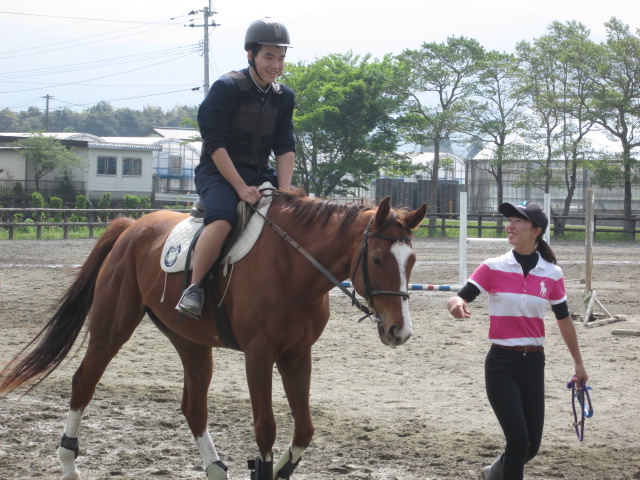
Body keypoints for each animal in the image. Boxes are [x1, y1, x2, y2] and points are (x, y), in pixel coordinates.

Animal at [0, 188, 427, 480]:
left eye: (411, 262)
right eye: (377, 259)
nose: (399, 331)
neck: (294, 267)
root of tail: (132, 227)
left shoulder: (296, 353)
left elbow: (304, 429)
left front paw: (273, 470)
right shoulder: (259, 354)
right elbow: (266, 428)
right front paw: (262, 467)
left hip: (190, 342)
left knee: (193, 406)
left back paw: (216, 469)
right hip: (112, 326)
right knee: (83, 381)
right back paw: (69, 462)